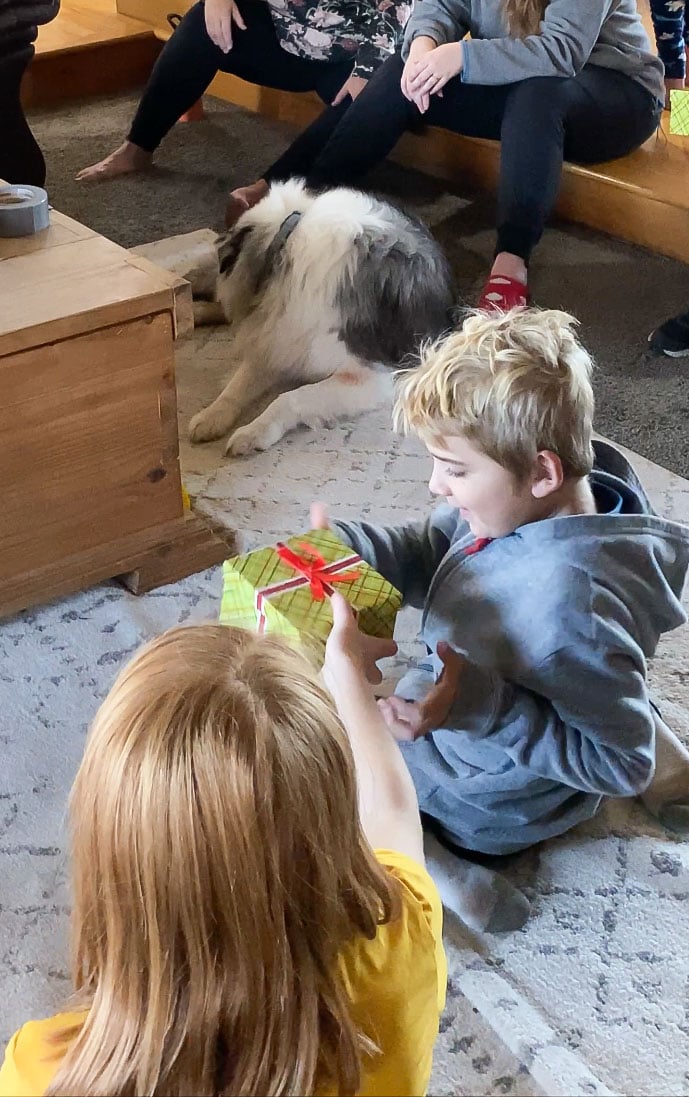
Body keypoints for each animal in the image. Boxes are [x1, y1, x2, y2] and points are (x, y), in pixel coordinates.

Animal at [189, 181, 458, 454]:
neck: (284, 247)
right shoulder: (278, 341)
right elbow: (238, 384)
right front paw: (211, 416)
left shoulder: (372, 376)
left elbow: (291, 397)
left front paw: (254, 433)